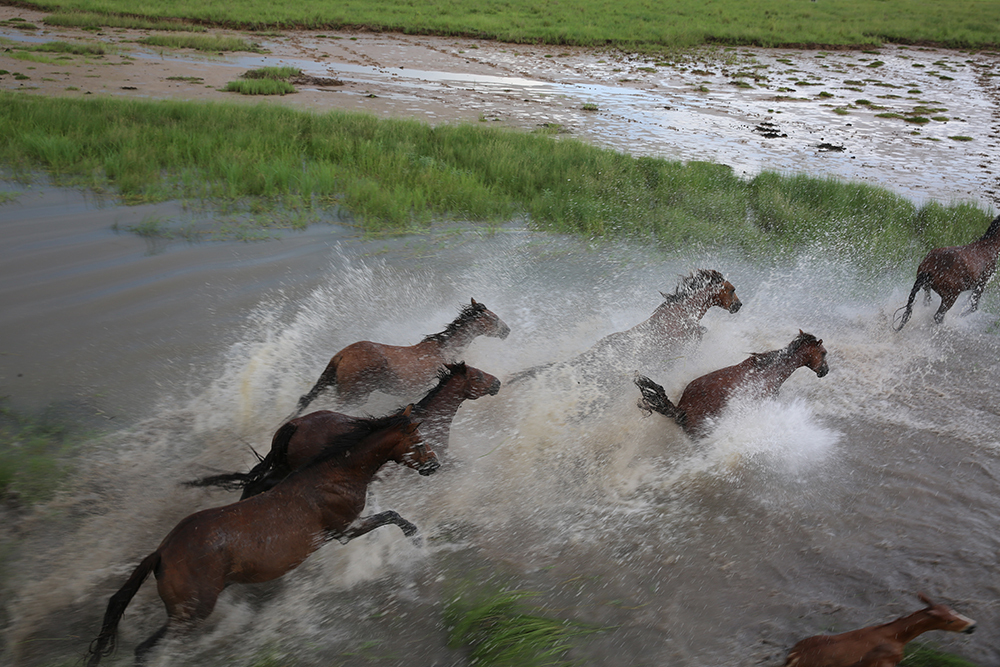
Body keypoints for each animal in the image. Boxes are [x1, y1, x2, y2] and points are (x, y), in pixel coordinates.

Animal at [82, 410, 434, 667]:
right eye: (418, 440)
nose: (435, 464)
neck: (335, 472)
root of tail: (161, 552)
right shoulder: (346, 530)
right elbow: (393, 516)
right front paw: (418, 542)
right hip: (191, 613)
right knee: (144, 649)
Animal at [188, 362, 500, 498]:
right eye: (477, 376)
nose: (496, 382)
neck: (431, 419)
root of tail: (294, 425)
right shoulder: (434, 463)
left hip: (284, 467)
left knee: (257, 484)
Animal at [780, 596, 976, 667]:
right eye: (949, 620)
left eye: (953, 610)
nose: (972, 626)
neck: (898, 638)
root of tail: (793, 656)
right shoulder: (884, 664)